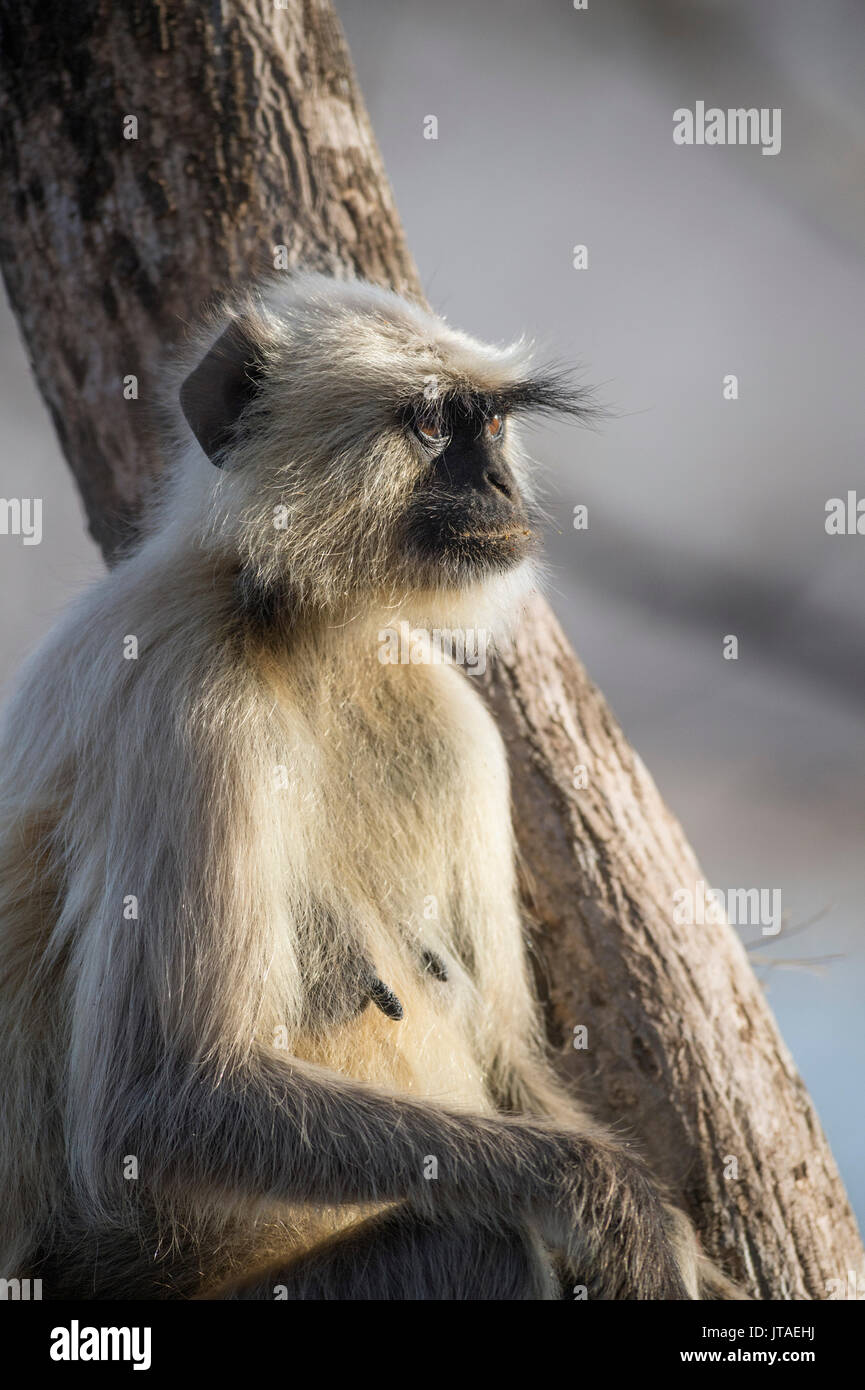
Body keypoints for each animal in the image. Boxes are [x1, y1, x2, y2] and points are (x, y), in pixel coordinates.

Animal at [0, 272, 742, 1301]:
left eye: (492, 426)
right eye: (430, 425)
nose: (498, 485)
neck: (302, 631)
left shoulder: (453, 724)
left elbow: (505, 1058)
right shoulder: (177, 689)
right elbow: (161, 1098)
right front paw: (615, 1203)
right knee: (486, 1242)